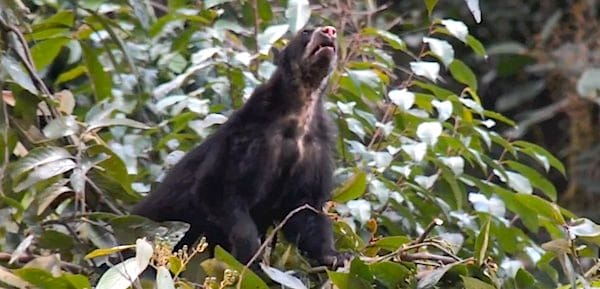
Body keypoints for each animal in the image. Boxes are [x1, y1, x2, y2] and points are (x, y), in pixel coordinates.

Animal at [134, 25, 350, 266]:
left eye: (330, 31)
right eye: (306, 31)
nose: (329, 31)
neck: (297, 116)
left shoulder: (316, 148)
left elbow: (306, 208)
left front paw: (335, 255)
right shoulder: (246, 137)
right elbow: (215, 189)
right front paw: (249, 251)